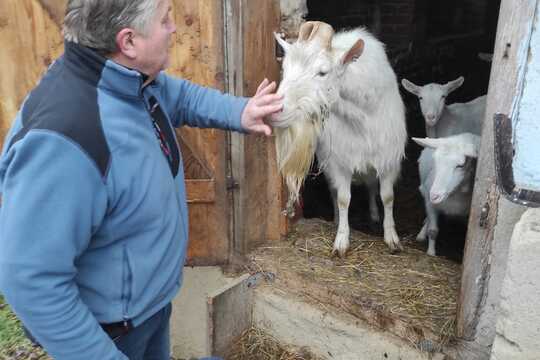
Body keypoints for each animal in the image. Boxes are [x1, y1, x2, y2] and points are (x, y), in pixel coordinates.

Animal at [274, 21, 404, 256]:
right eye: (285, 68)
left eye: (322, 72)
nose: (277, 109)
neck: (363, 117)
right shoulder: (339, 161)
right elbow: (344, 199)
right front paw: (341, 240)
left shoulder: (389, 159)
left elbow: (387, 196)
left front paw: (392, 238)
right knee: (334, 191)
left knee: (371, 185)